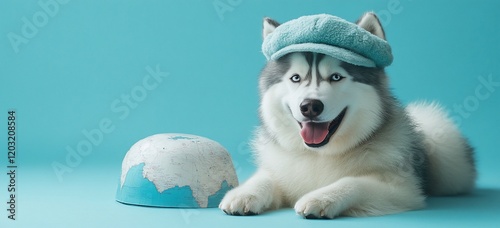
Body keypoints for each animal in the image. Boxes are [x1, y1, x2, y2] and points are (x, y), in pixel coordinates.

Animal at [220, 12, 476, 219]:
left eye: (336, 77)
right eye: (295, 78)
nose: (309, 106)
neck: (319, 155)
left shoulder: (402, 189)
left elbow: (354, 181)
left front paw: (321, 197)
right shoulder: (284, 168)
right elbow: (267, 177)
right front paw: (245, 192)